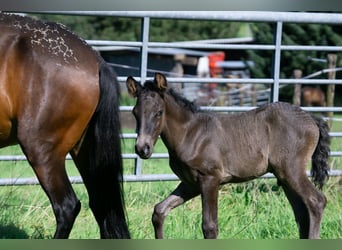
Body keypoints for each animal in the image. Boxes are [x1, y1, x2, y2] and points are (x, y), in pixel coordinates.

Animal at [127, 72, 330, 238]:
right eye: (135, 113)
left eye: (159, 112)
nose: (142, 148)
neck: (190, 134)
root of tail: (312, 119)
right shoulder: (190, 183)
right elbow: (159, 211)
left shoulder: (210, 179)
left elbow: (209, 227)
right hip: (284, 176)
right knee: (302, 214)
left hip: (291, 170)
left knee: (316, 201)